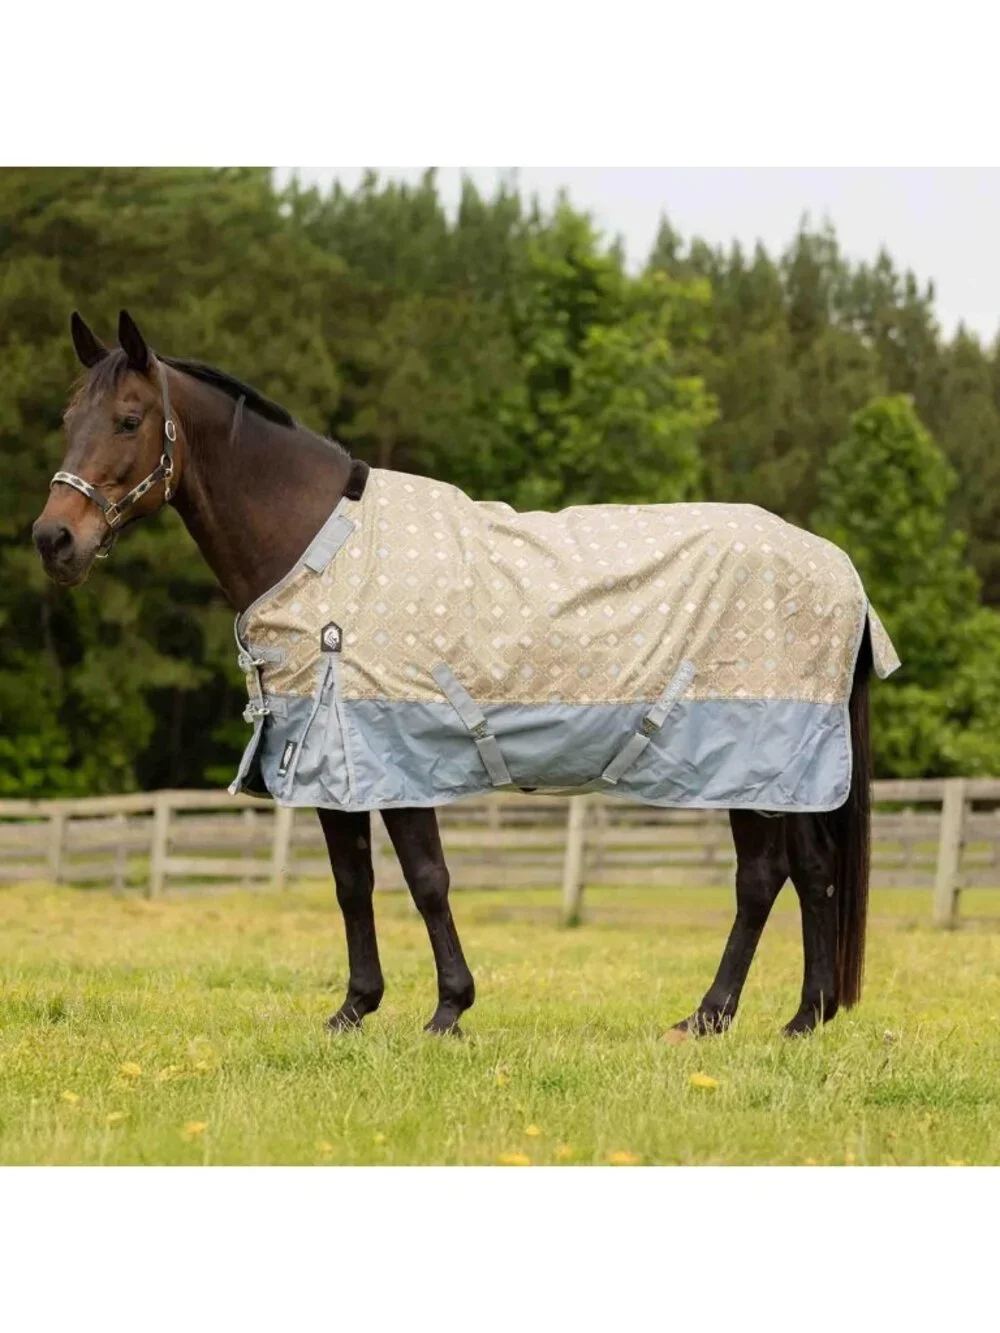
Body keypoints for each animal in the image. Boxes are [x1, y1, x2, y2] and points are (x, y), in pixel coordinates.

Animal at [32, 309, 880, 1039]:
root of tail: (838, 567)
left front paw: (448, 1008)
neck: (323, 547)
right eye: (70, 420)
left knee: (769, 876)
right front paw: (354, 1009)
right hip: (778, 774)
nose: (54, 539)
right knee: (804, 871)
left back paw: (724, 1017)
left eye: (130, 419)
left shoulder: (397, 754)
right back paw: (786, 1018)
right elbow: (352, 883)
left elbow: (426, 877)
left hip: (757, 763)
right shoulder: (335, 757)